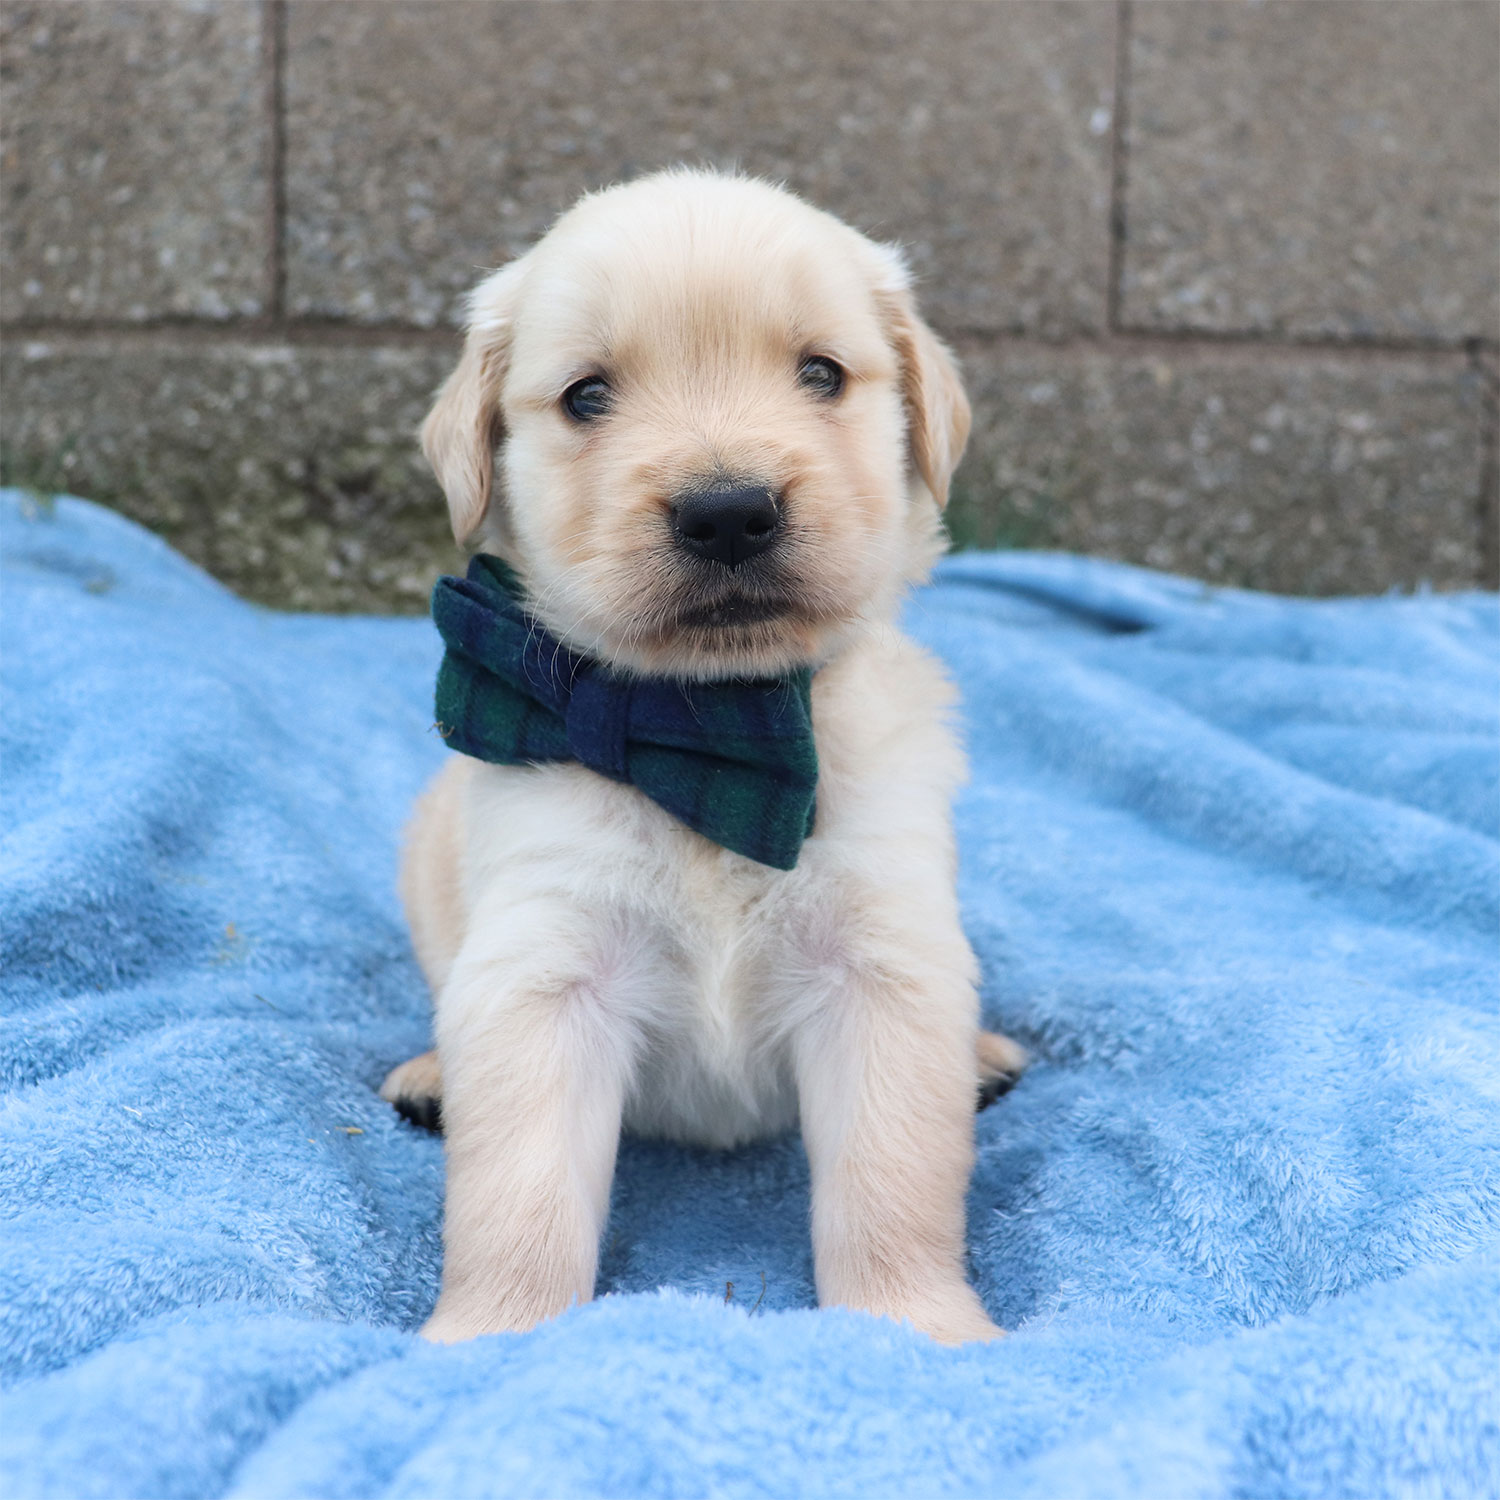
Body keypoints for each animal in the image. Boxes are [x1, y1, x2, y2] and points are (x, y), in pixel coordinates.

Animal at [381, 167, 1026, 1350]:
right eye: (587, 397)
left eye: (821, 373)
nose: (729, 513)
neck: (708, 734)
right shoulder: (545, 969)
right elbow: (518, 1196)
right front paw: (488, 1339)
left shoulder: (882, 964)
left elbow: (892, 1182)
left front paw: (918, 1330)